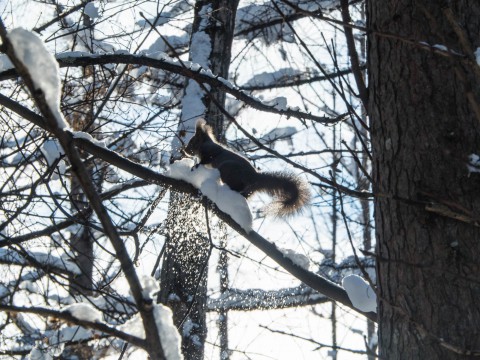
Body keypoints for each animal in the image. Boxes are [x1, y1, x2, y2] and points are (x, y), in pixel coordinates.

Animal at [184, 120, 312, 217]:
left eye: (193, 141)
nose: (185, 150)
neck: (204, 144)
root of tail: (255, 178)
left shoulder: (212, 151)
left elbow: (206, 159)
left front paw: (196, 165)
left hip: (228, 169)